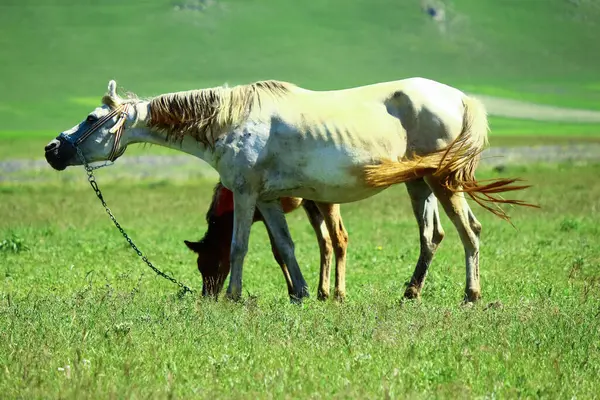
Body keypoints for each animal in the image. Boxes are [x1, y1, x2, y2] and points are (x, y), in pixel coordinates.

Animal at [185, 181, 350, 300]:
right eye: (200, 267)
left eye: (218, 265)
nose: (208, 296)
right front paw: (293, 292)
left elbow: (278, 251)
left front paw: (293, 292)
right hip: (310, 203)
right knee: (325, 241)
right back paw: (323, 293)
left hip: (328, 201)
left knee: (340, 238)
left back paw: (338, 295)